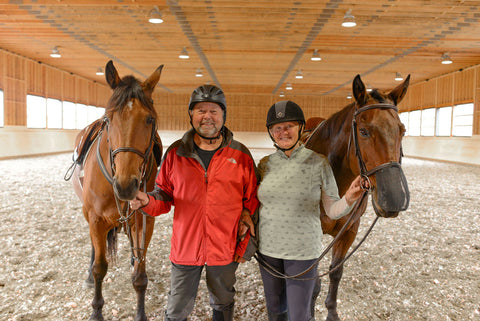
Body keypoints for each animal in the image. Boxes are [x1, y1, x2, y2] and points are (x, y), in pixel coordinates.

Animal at [68, 60, 164, 320]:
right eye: (109, 120)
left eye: (149, 119)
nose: (125, 185)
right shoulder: (95, 219)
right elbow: (100, 267)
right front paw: (96, 311)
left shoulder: (144, 219)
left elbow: (140, 274)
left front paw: (140, 313)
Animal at [306, 74, 410, 318]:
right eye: (363, 131)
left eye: (402, 130)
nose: (393, 198)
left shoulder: (349, 230)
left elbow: (336, 271)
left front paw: (332, 313)